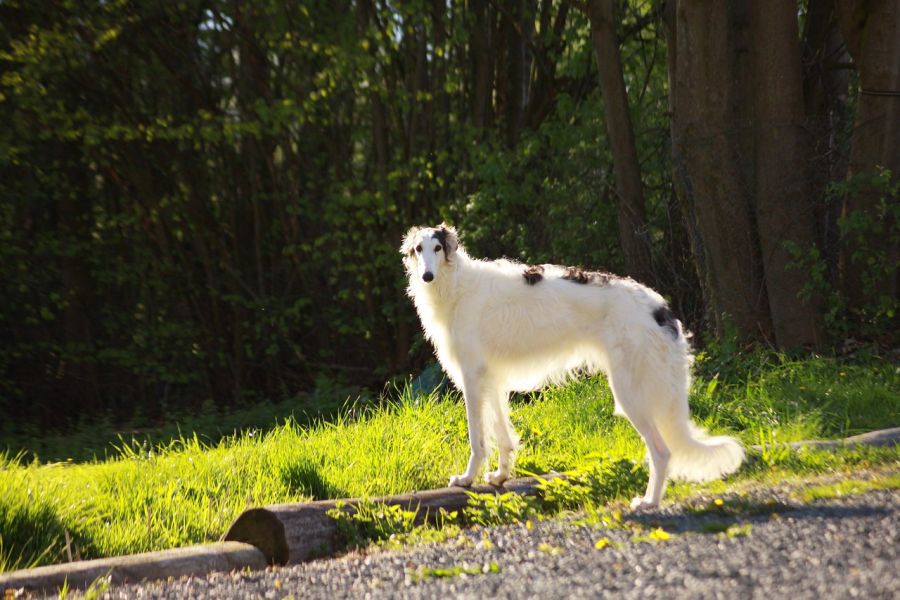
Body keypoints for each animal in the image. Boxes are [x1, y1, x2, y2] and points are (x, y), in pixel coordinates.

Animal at [402, 223, 744, 508]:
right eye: (418, 249)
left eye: (438, 248)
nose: (427, 276)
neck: (458, 286)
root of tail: (660, 309)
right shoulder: (492, 380)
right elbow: (503, 436)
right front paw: (500, 476)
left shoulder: (472, 378)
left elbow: (478, 440)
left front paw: (466, 479)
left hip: (631, 394)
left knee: (662, 452)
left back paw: (648, 502)